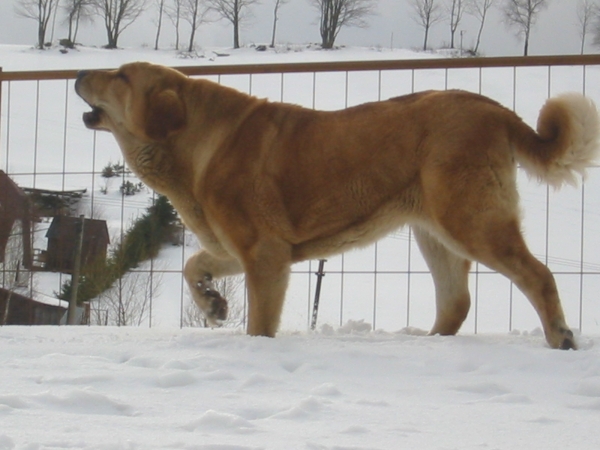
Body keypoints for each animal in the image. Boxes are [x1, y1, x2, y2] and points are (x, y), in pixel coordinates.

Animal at [76, 60, 600, 348]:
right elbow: (192, 266)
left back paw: (560, 337)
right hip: (434, 232)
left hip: (470, 220)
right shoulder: (236, 248)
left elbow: (260, 321)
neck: (191, 140)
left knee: (538, 275)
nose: (80, 72)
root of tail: (493, 107)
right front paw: (213, 305)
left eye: (120, 76)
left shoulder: (265, 254)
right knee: (456, 301)